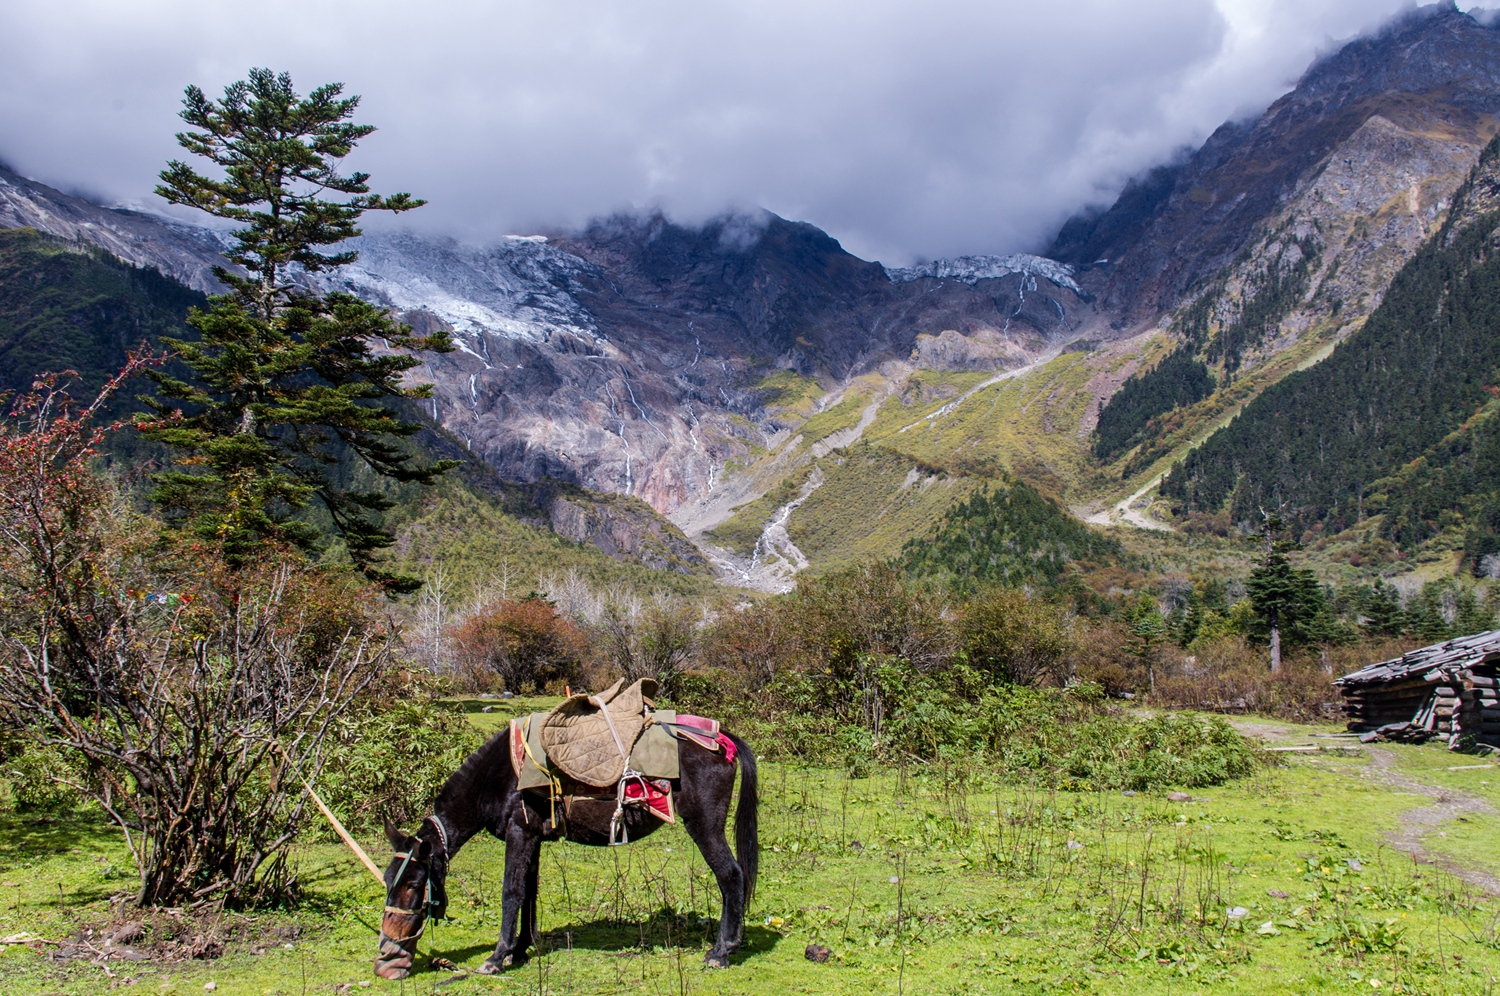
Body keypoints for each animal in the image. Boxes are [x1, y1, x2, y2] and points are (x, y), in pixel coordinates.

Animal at [370, 720, 756, 978]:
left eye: (413, 885)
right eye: (388, 881)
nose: (387, 955)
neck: (500, 775)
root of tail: (720, 738)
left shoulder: (519, 831)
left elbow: (511, 892)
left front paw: (496, 957)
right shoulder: (532, 837)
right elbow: (528, 893)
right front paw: (520, 949)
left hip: (704, 825)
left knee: (731, 877)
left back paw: (721, 952)